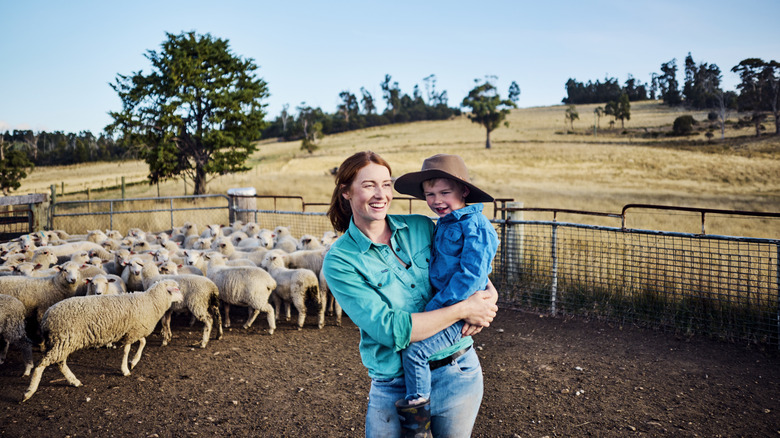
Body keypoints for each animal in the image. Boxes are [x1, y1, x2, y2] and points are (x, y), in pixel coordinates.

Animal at [21, 278, 184, 402]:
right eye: (176, 289)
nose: (182, 299)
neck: (151, 301)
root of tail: (46, 317)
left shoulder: (134, 330)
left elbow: (143, 343)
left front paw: (133, 362)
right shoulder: (132, 332)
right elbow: (127, 349)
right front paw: (125, 369)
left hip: (63, 341)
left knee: (60, 363)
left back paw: (74, 381)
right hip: (63, 340)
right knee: (42, 365)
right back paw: (29, 392)